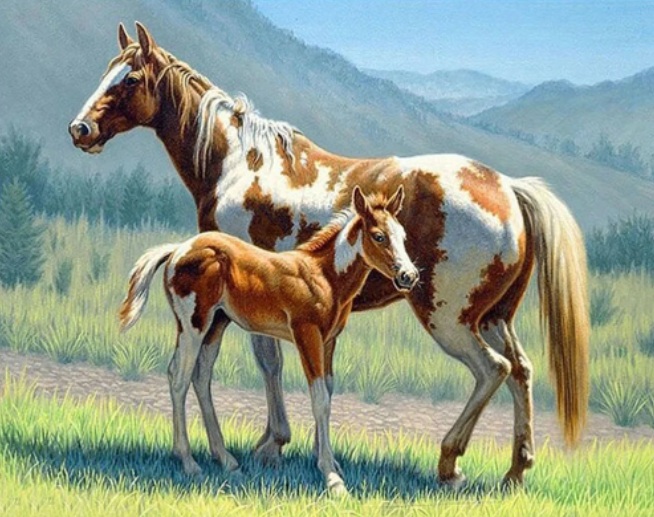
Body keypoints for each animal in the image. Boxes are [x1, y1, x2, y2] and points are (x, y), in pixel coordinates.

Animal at [119, 185, 417, 494]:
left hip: (216, 325)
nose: (409, 276)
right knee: (179, 376)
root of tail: (179, 249)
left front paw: (333, 465)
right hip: (193, 326)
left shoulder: (329, 341)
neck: (324, 276)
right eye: (379, 236)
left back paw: (227, 460)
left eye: (403, 236)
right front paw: (331, 478)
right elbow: (319, 398)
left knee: (200, 376)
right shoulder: (306, 335)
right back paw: (189, 463)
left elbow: (328, 393)